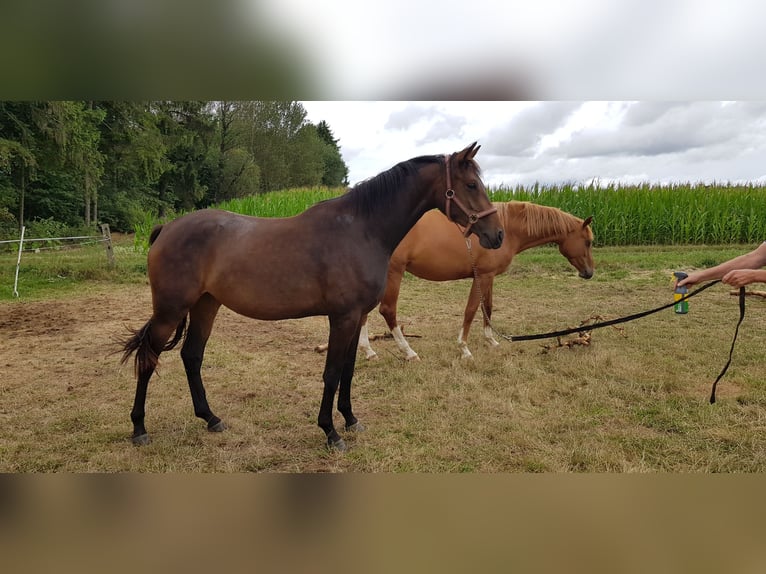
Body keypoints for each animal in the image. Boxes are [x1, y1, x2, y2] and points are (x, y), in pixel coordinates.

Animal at [120, 142, 504, 452]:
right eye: (471, 184)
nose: (497, 235)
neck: (360, 229)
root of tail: (166, 228)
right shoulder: (342, 317)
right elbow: (332, 373)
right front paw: (331, 433)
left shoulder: (357, 317)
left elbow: (348, 371)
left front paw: (350, 420)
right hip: (170, 311)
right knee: (148, 357)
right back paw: (139, 428)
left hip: (205, 305)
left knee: (191, 356)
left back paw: (211, 418)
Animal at [358, 202, 592, 360]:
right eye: (588, 241)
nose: (589, 273)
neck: (507, 228)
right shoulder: (483, 276)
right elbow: (471, 310)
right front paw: (464, 349)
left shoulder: (488, 277)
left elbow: (487, 307)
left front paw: (492, 341)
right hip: (394, 274)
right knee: (388, 311)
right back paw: (408, 352)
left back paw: (369, 351)